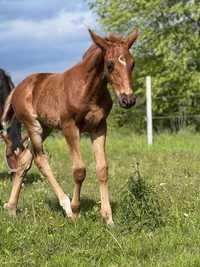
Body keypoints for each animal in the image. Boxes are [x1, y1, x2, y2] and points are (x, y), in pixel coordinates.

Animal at [1, 28, 138, 226]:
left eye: (132, 63)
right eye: (110, 64)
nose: (128, 100)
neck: (89, 90)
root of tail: (18, 88)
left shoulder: (99, 127)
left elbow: (102, 169)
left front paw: (108, 218)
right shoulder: (69, 127)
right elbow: (79, 170)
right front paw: (75, 209)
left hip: (46, 127)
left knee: (25, 159)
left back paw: (11, 207)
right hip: (33, 126)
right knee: (40, 160)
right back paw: (65, 206)